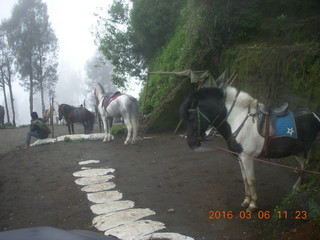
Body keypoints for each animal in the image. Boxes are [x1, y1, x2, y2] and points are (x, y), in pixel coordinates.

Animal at [180, 86, 320, 210]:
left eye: (192, 118)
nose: (190, 143)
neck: (237, 120)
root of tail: (315, 115)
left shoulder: (247, 158)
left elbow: (251, 180)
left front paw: (253, 205)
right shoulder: (240, 158)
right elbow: (245, 179)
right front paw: (246, 201)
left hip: (303, 151)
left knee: (305, 166)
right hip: (299, 152)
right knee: (303, 167)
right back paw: (297, 187)